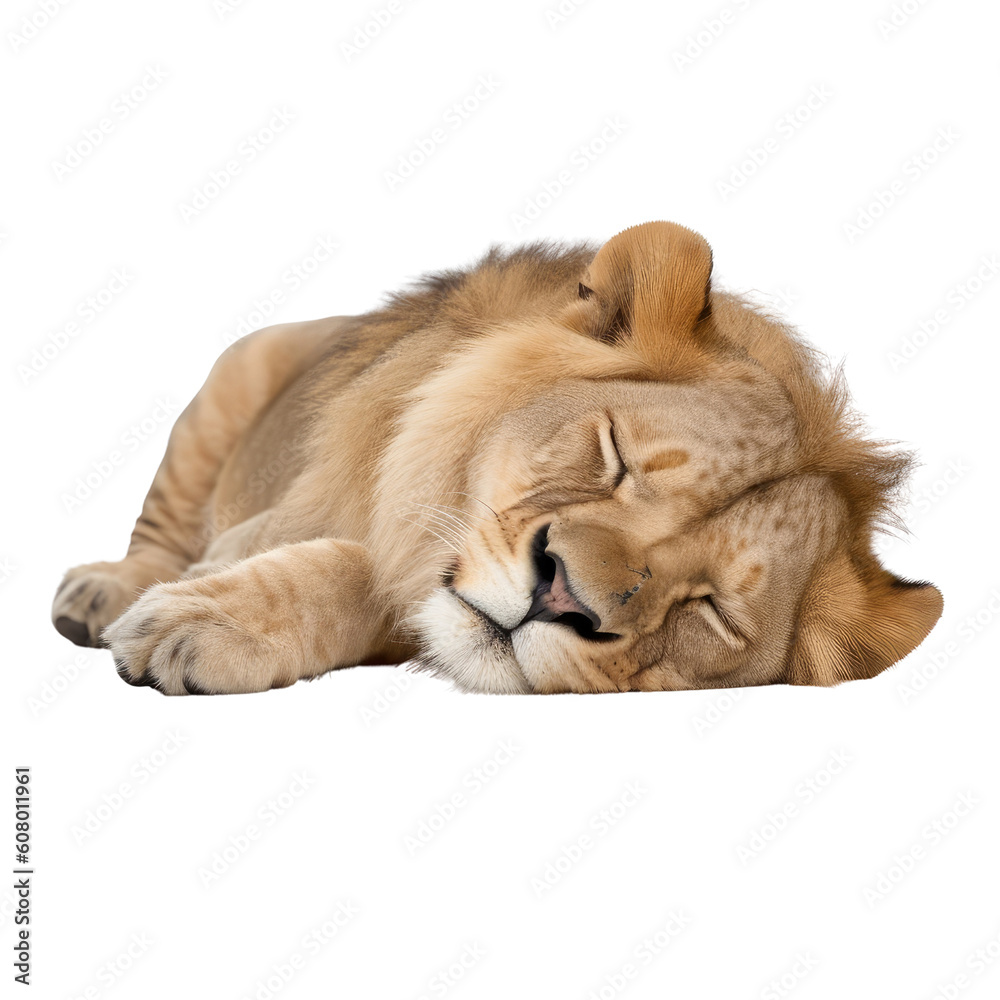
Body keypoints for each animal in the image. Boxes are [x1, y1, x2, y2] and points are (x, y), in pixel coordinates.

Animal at [51, 221, 942, 695]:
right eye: (615, 458)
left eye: (710, 611)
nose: (561, 597)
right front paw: (186, 604)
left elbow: (357, 573)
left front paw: (207, 621)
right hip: (224, 388)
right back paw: (99, 593)